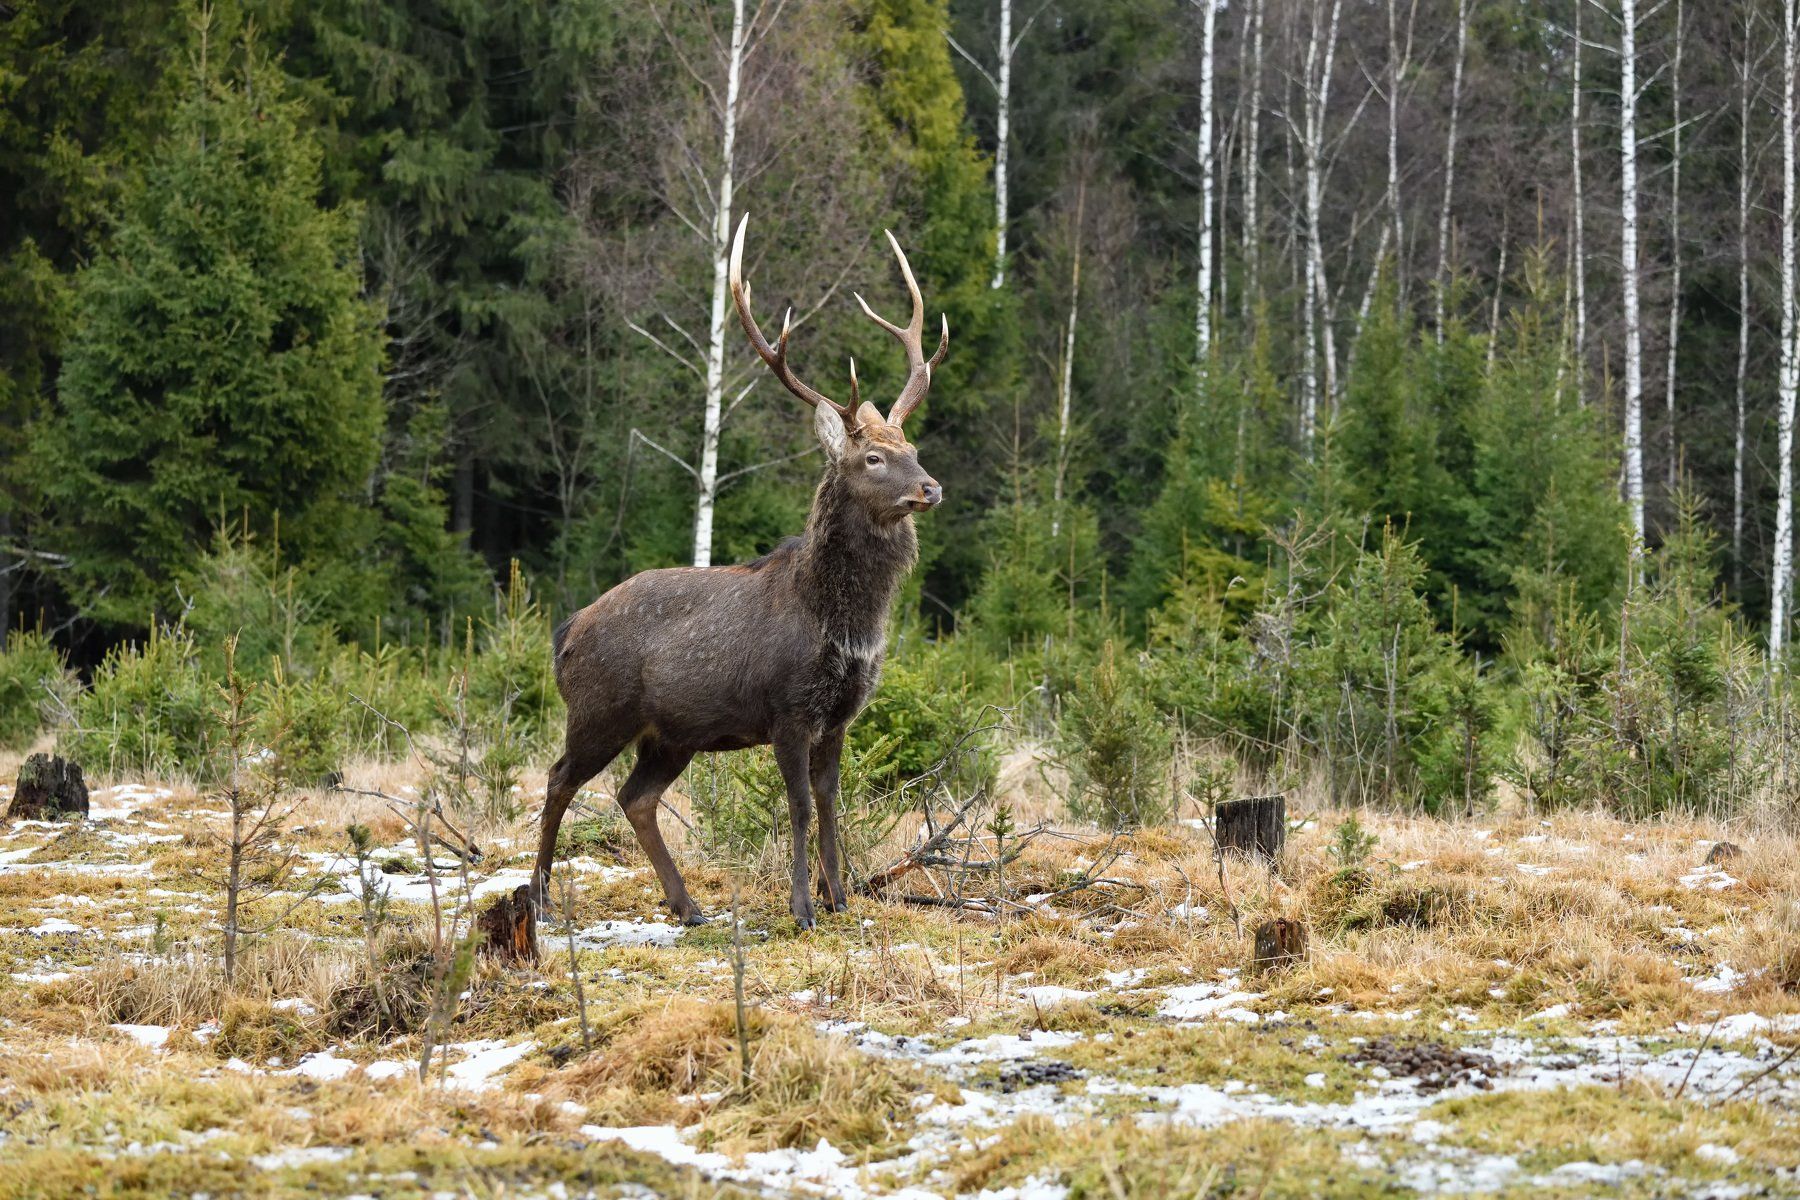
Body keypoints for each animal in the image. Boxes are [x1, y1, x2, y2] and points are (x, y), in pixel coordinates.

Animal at [529, 215, 950, 928]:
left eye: (912, 446)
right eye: (871, 458)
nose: (930, 487)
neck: (844, 624)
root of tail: (566, 631)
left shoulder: (841, 714)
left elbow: (832, 802)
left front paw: (839, 899)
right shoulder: (786, 707)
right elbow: (800, 806)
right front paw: (803, 907)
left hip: (670, 734)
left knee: (635, 796)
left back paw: (688, 905)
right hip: (598, 709)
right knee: (560, 778)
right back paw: (536, 900)